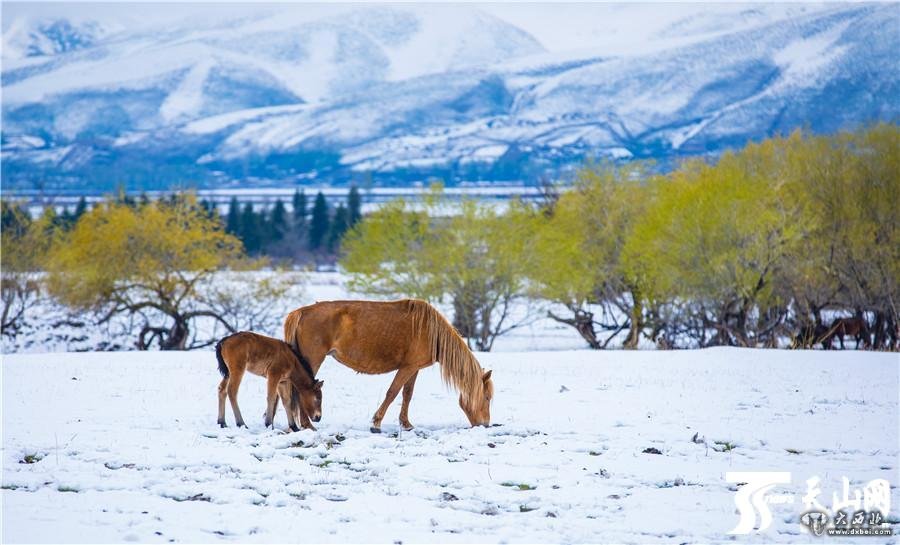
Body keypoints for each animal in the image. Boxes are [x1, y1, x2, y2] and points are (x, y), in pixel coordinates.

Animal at [284, 300, 492, 432]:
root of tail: (301, 312)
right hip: (312, 360)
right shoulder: (406, 368)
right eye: (487, 397)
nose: (485, 424)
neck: (431, 331)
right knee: (302, 389)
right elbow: (392, 392)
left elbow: (407, 394)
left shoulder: (414, 368)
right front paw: (376, 423)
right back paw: (308, 425)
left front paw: (406, 424)